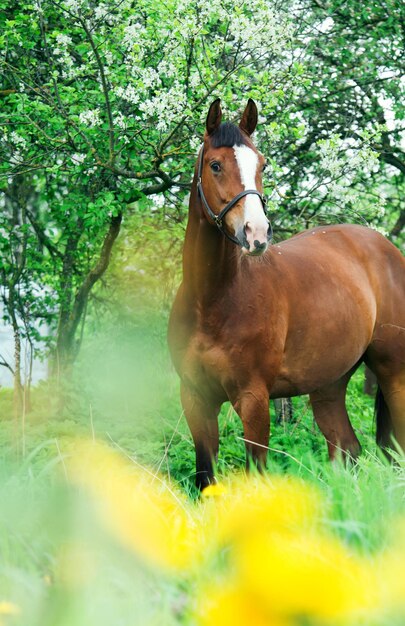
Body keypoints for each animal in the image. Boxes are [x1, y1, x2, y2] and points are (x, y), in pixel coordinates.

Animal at [167, 96, 404, 488]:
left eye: (261, 163)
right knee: (347, 449)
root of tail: (387, 249)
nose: (257, 233)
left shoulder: (253, 399)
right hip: (329, 385)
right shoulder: (195, 398)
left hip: (394, 373)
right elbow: (205, 477)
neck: (212, 300)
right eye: (215, 165)